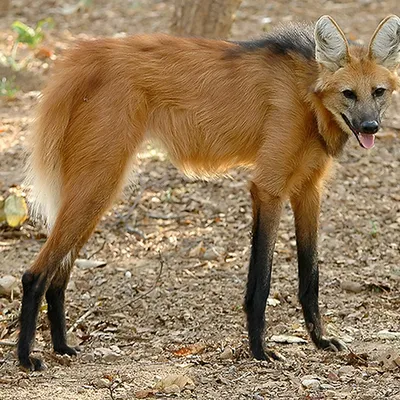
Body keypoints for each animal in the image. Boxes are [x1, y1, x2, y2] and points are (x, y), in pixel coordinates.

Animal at [18, 14, 400, 372]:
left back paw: (62, 346)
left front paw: (320, 340)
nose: (370, 127)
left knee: (59, 275)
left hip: (98, 192)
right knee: (34, 274)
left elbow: (311, 275)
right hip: (99, 184)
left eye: (378, 92)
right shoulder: (268, 188)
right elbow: (261, 281)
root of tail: (87, 53)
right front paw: (260, 351)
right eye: (348, 93)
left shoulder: (308, 190)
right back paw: (26, 357)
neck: (308, 96)